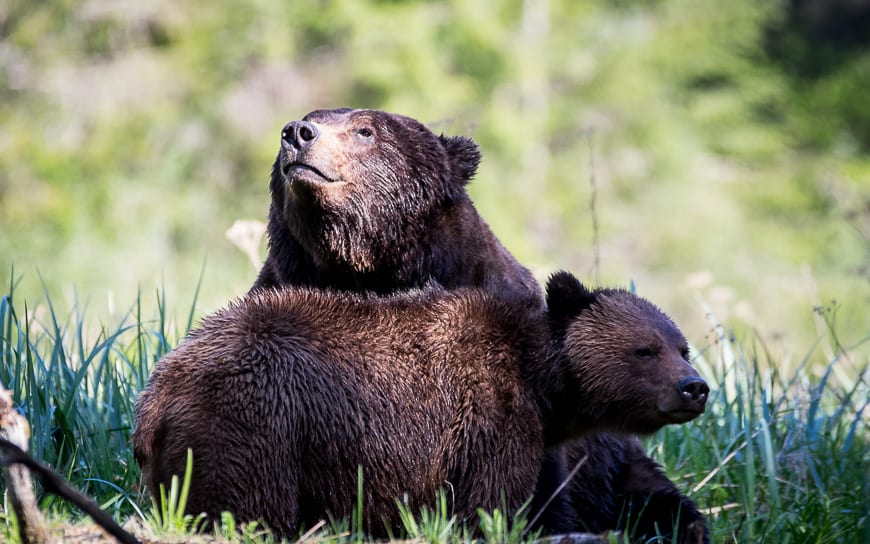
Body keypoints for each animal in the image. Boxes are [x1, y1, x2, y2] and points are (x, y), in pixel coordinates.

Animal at [135, 274, 708, 536]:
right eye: (645, 349)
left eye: (682, 346)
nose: (695, 387)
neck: (546, 388)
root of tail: (156, 392)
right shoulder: (489, 418)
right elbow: (489, 504)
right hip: (256, 422)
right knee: (246, 506)